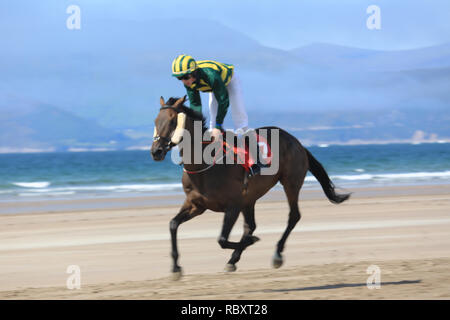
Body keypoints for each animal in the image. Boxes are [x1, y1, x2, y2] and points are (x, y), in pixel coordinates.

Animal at [149, 96, 350, 278]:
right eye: (156, 121)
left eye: (173, 120)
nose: (156, 151)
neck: (203, 166)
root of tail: (297, 142)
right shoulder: (196, 205)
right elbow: (173, 224)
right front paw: (176, 268)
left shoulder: (233, 206)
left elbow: (222, 239)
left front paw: (250, 242)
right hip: (250, 198)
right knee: (251, 225)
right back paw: (234, 258)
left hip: (290, 183)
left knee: (293, 216)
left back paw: (276, 254)